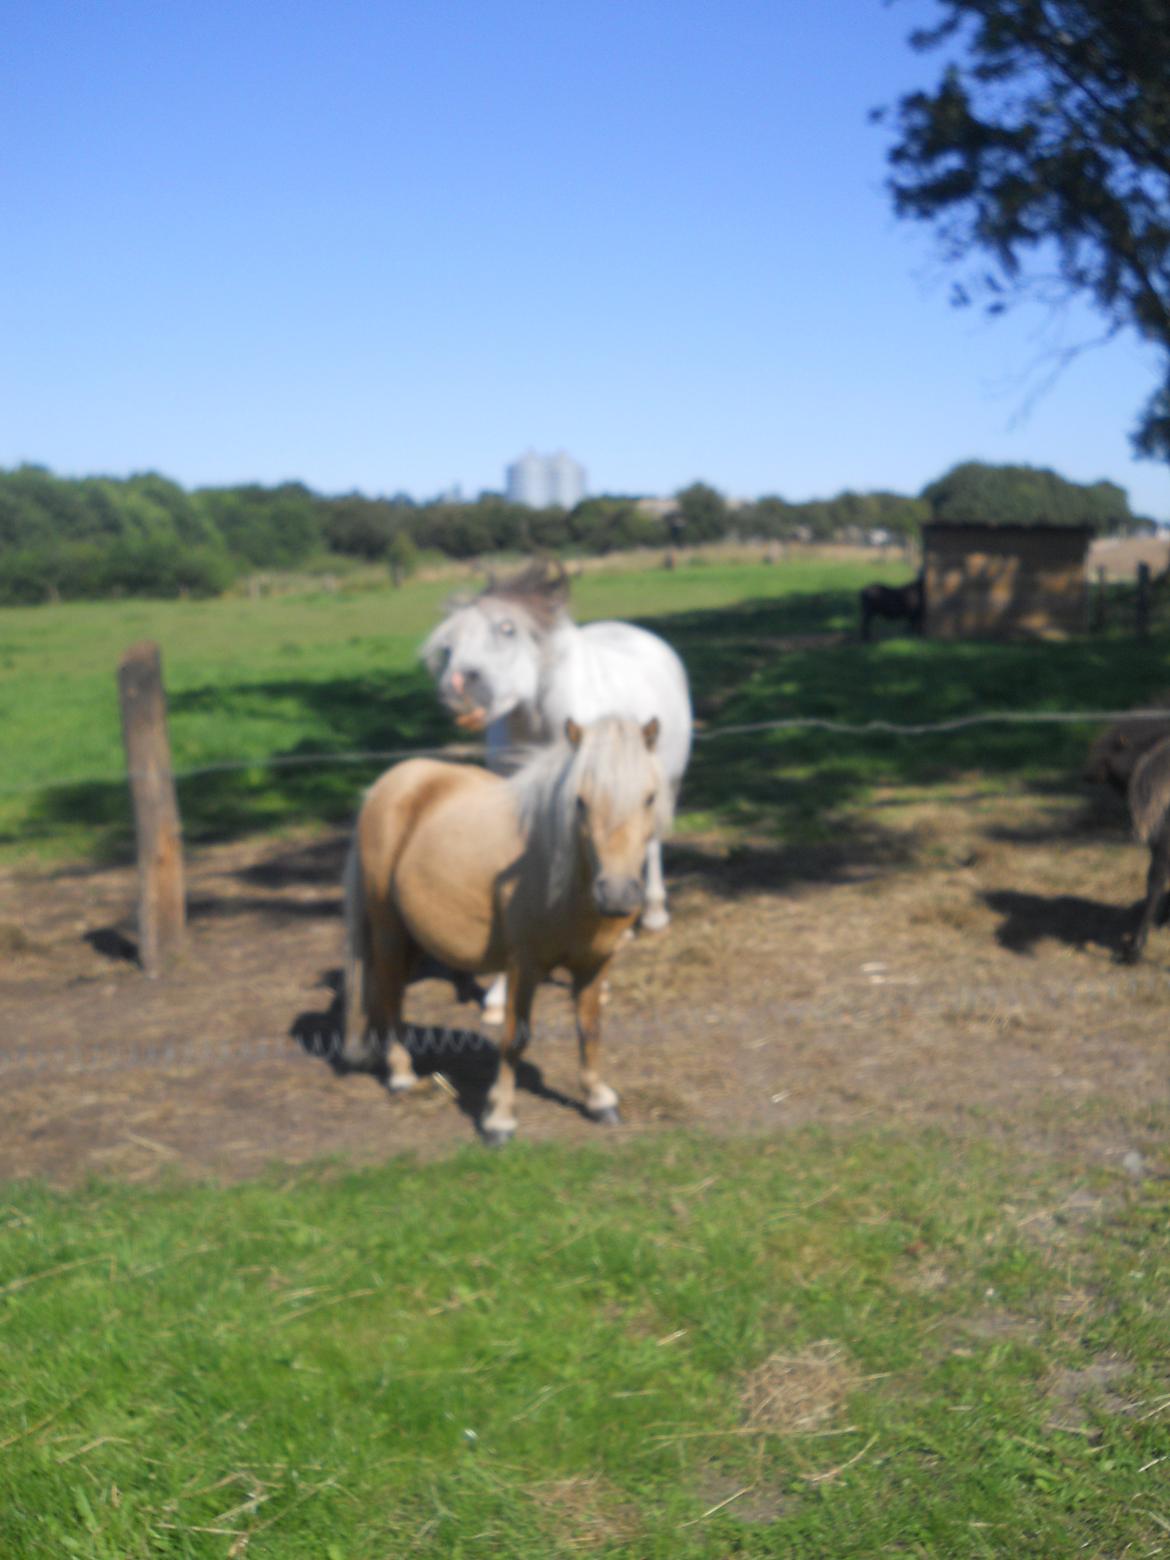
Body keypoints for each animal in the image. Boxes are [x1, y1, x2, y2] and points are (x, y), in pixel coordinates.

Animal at [341, 714, 667, 1141]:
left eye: (649, 798)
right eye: (579, 801)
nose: (616, 894)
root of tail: (389, 783)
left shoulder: (595, 962)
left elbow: (590, 1029)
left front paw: (599, 1100)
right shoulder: (523, 966)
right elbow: (516, 1037)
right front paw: (499, 1118)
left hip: (413, 937)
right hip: (388, 930)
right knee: (389, 992)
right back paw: (400, 1075)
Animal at [424, 567, 692, 1017]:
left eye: (507, 628)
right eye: (449, 644)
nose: (457, 688)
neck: (538, 722)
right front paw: (499, 993)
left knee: (651, 843)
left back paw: (652, 914)